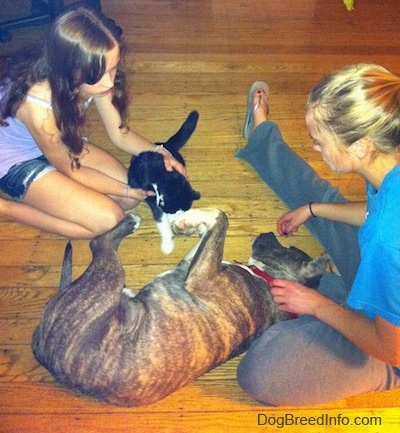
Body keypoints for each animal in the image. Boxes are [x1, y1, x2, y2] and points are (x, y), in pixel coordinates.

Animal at [32, 208, 332, 406]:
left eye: (289, 247)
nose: (269, 231)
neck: (269, 283)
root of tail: (43, 352)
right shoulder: (192, 265)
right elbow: (209, 229)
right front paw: (189, 223)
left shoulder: (198, 275)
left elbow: (221, 217)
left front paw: (188, 219)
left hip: (108, 275)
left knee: (99, 243)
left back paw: (129, 222)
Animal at [129, 110, 200, 253]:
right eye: (172, 211)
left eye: (184, 210)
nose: (176, 218)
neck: (163, 177)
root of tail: (165, 145)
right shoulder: (151, 197)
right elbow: (161, 219)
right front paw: (167, 245)